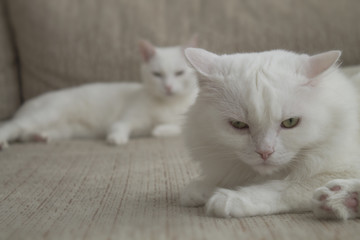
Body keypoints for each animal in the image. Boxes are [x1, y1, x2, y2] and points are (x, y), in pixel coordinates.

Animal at [0, 38, 198, 149]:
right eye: (157, 74)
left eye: (179, 73)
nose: (168, 87)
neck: (169, 105)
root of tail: (26, 104)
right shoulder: (128, 117)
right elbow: (119, 126)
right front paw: (116, 138)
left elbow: (175, 128)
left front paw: (158, 129)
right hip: (47, 114)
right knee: (11, 126)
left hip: (62, 130)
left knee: (23, 133)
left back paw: (39, 137)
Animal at [181, 47, 360, 220]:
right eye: (239, 124)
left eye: (290, 122)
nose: (265, 152)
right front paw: (201, 189)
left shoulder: (341, 169)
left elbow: (286, 187)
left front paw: (231, 199)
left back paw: (339, 198)